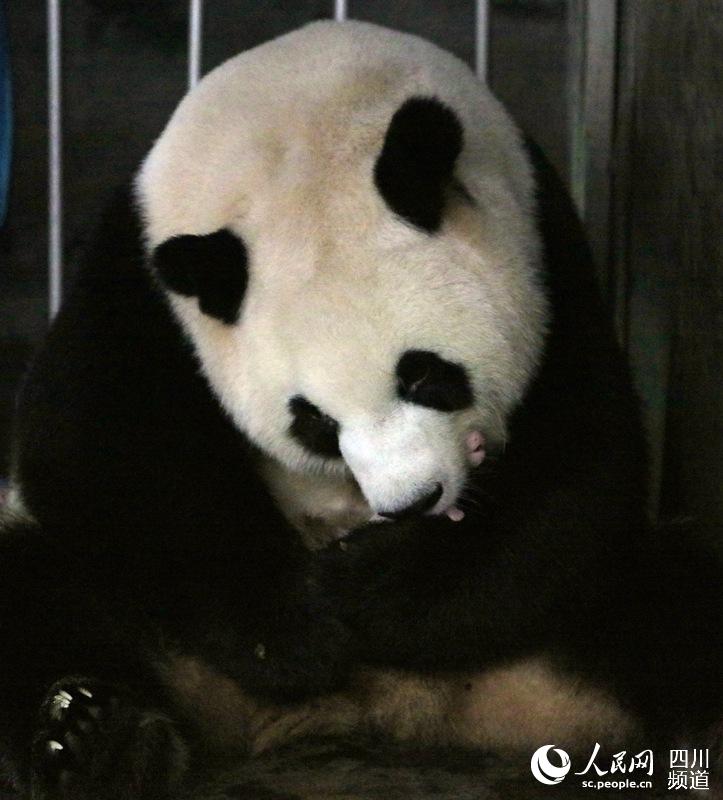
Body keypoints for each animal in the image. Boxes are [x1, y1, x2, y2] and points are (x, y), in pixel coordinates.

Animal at [1, 19, 721, 800]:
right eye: (313, 422)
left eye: (426, 376)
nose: (414, 503)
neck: (310, 117)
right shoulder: (140, 277)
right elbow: (91, 455)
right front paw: (298, 628)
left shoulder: (545, 249)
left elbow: (578, 472)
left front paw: (372, 586)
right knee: (41, 590)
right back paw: (97, 740)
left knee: (677, 591)